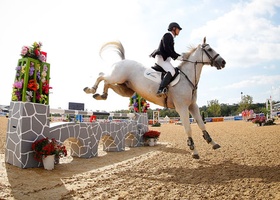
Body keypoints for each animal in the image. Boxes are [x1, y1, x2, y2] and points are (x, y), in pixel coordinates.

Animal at [83, 37, 225, 159]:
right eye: (210, 49)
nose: (223, 62)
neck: (187, 78)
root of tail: (123, 60)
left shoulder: (192, 106)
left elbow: (201, 124)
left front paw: (212, 143)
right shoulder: (182, 107)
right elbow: (188, 129)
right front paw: (194, 151)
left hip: (125, 89)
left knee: (107, 83)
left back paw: (101, 95)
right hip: (117, 76)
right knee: (102, 75)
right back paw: (90, 89)